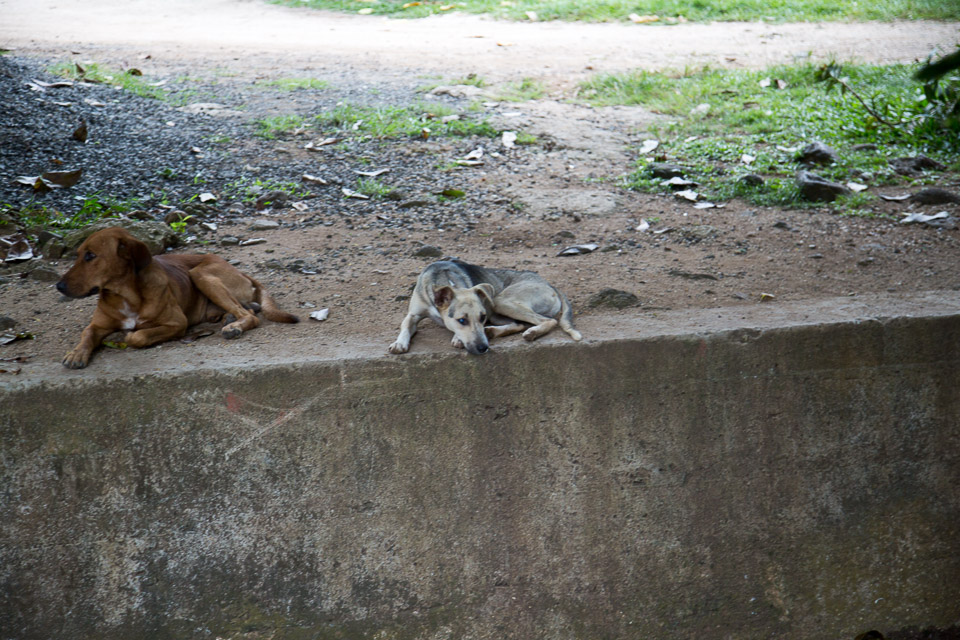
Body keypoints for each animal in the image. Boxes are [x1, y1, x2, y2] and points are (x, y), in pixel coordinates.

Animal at [57, 226, 296, 368]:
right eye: (77, 255)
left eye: (90, 256)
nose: (58, 286)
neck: (126, 295)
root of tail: (241, 271)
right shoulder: (97, 325)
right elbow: (87, 334)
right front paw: (76, 353)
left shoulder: (177, 323)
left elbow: (137, 336)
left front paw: (128, 336)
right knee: (245, 309)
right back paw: (228, 318)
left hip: (200, 274)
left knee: (250, 315)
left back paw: (233, 326)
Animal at [386, 258, 580, 356]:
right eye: (462, 320)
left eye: (482, 317)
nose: (483, 348)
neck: (445, 281)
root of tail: (549, 284)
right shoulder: (413, 314)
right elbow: (405, 326)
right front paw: (399, 343)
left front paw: (457, 338)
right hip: (497, 309)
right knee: (518, 324)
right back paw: (492, 331)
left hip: (500, 302)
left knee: (547, 321)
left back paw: (531, 333)